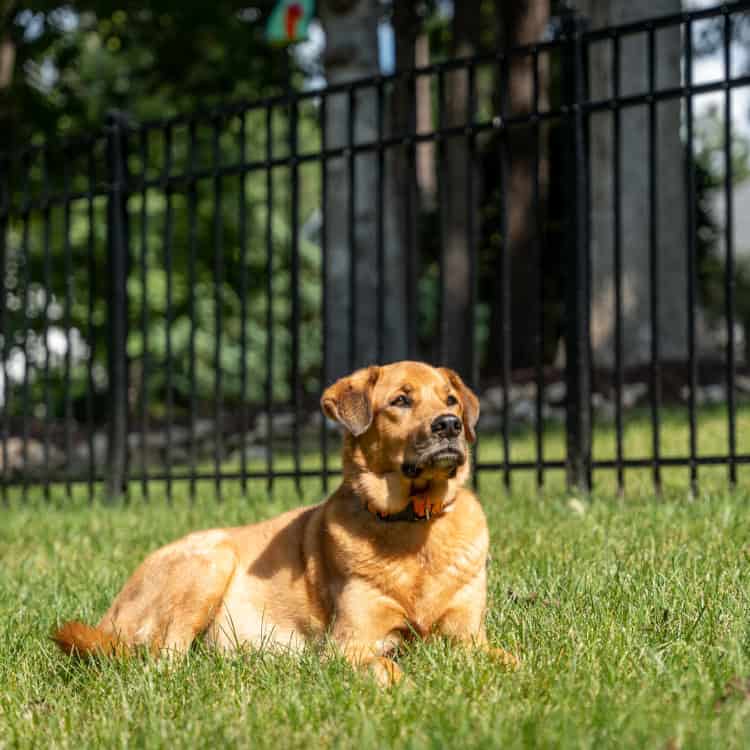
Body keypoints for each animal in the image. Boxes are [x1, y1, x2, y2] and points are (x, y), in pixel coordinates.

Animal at [55, 362, 520, 684]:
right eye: (401, 401)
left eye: (450, 399)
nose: (450, 425)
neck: (413, 524)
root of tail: (110, 617)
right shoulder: (350, 644)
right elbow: (389, 669)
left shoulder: (468, 637)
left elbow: (512, 660)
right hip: (211, 560)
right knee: (162, 661)